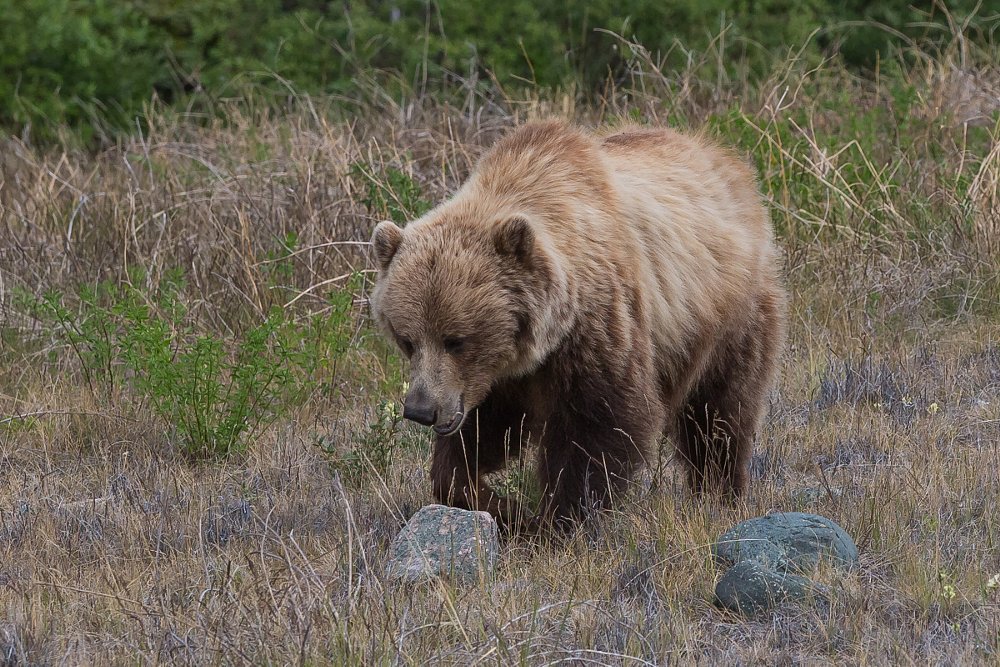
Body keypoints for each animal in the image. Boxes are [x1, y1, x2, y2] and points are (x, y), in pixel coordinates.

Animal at [369, 120, 786, 531]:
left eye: (456, 340)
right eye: (406, 339)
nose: (421, 409)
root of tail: (728, 160)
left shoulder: (597, 327)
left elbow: (597, 429)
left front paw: (559, 521)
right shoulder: (502, 379)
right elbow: (476, 439)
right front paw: (501, 505)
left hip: (728, 315)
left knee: (719, 413)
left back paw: (719, 494)